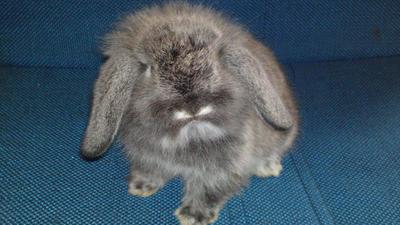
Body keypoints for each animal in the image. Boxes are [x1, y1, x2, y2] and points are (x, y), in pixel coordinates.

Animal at [81, 2, 298, 225]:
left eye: (216, 62)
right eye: (149, 68)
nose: (192, 108)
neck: (187, 133)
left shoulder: (223, 166)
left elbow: (208, 188)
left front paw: (193, 216)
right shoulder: (146, 155)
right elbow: (150, 169)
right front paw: (141, 186)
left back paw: (268, 168)